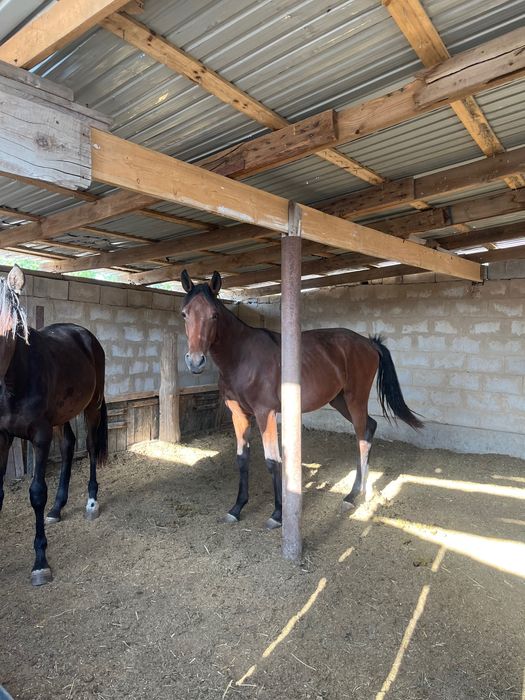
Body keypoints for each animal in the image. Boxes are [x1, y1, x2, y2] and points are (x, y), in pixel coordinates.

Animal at [0, 266, 108, 585]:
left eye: (10, 328)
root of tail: (85, 335)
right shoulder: (3, 435)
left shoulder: (40, 436)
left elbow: (36, 493)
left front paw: (40, 563)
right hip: (61, 417)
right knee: (69, 445)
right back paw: (57, 508)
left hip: (91, 407)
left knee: (90, 446)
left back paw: (91, 503)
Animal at [180, 269, 423, 529]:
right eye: (184, 314)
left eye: (214, 315)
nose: (195, 361)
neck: (242, 356)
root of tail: (369, 343)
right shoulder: (239, 413)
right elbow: (242, 459)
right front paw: (237, 508)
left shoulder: (265, 413)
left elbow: (273, 460)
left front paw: (278, 513)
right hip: (339, 400)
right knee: (370, 427)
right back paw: (362, 489)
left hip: (355, 399)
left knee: (362, 438)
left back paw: (351, 496)